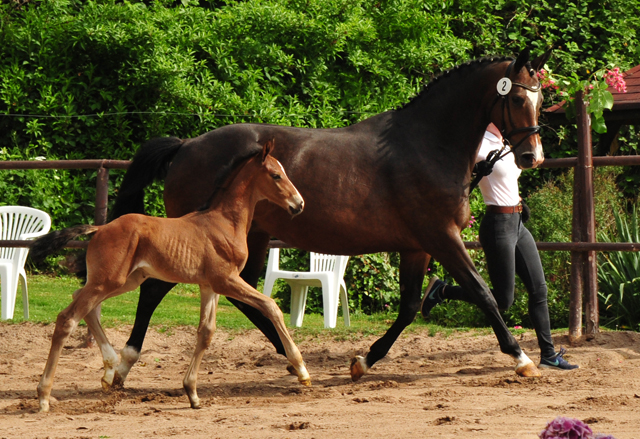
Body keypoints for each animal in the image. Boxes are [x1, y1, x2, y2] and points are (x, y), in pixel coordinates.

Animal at [31, 141, 310, 412]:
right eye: (276, 175)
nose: (299, 204)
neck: (224, 223)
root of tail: (100, 228)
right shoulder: (226, 280)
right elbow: (270, 306)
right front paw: (301, 369)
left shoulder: (209, 286)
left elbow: (206, 332)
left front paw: (192, 393)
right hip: (108, 281)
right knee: (67, 318)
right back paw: (44, 396)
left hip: (123, 281)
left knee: (81, 300)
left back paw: (109, 369)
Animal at [105, 47, 552, 384]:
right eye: (516, 98)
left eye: (541, 99)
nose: (532, 157)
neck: (425, 145)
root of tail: (185, 146)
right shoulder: (442, 237)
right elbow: (483, 292)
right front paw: (522, 358)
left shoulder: (417, 247)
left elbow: (409, 306)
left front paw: (362, 362)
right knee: (156, 290)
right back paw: (122, 366)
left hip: (251, 238)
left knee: (243, 295)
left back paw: (293, 360)